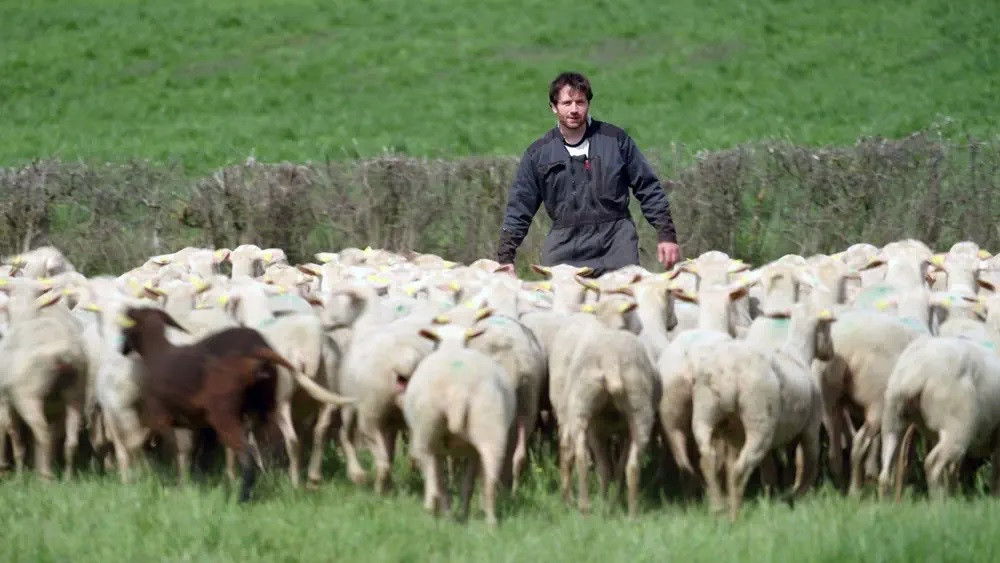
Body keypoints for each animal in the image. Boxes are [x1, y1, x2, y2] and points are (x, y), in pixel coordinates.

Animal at [403, 324, 515, 526]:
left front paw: (448, 512)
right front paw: (460, 513)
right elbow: (466, 484)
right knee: (490, 477)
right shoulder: (472, 452)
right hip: (490, 423)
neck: (452, 345)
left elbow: (443, 482)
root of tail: (458, 388)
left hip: (425, 431)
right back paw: (490, 521)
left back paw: (431, 512)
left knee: (431, 479)